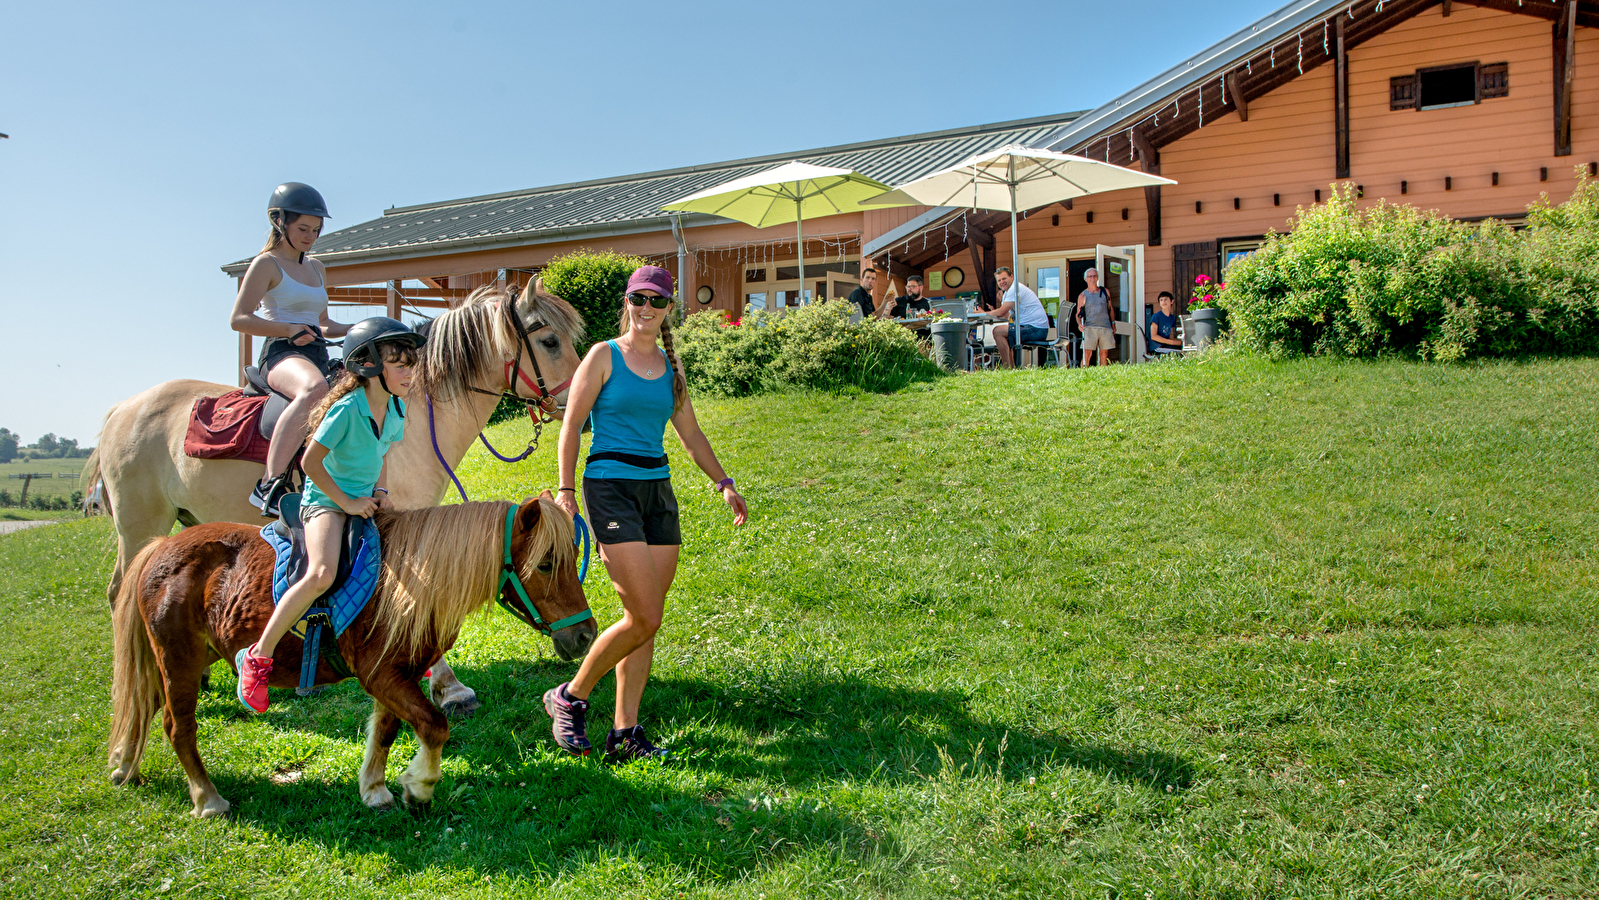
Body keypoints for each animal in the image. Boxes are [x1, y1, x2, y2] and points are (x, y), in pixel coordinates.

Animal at [81, 281, 582, 719]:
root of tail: (122, 409)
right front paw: (452, 690)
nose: (578, 397)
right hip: (139, 525)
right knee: (118, 591)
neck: (416, 421)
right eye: (550, 340)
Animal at [107, 492, 594, 818]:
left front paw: (375, 790)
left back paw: (124, 765)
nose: (585, 635)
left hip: (182, 661)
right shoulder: (381, 675)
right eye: (545, 563)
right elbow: (434, 726)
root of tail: (159, 547)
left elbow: (386, 731)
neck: (407, 583)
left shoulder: (398, 676)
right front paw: (418, 787)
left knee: (145, 704)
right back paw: (208, 799)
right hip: (180, 663)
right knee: (178, 727)